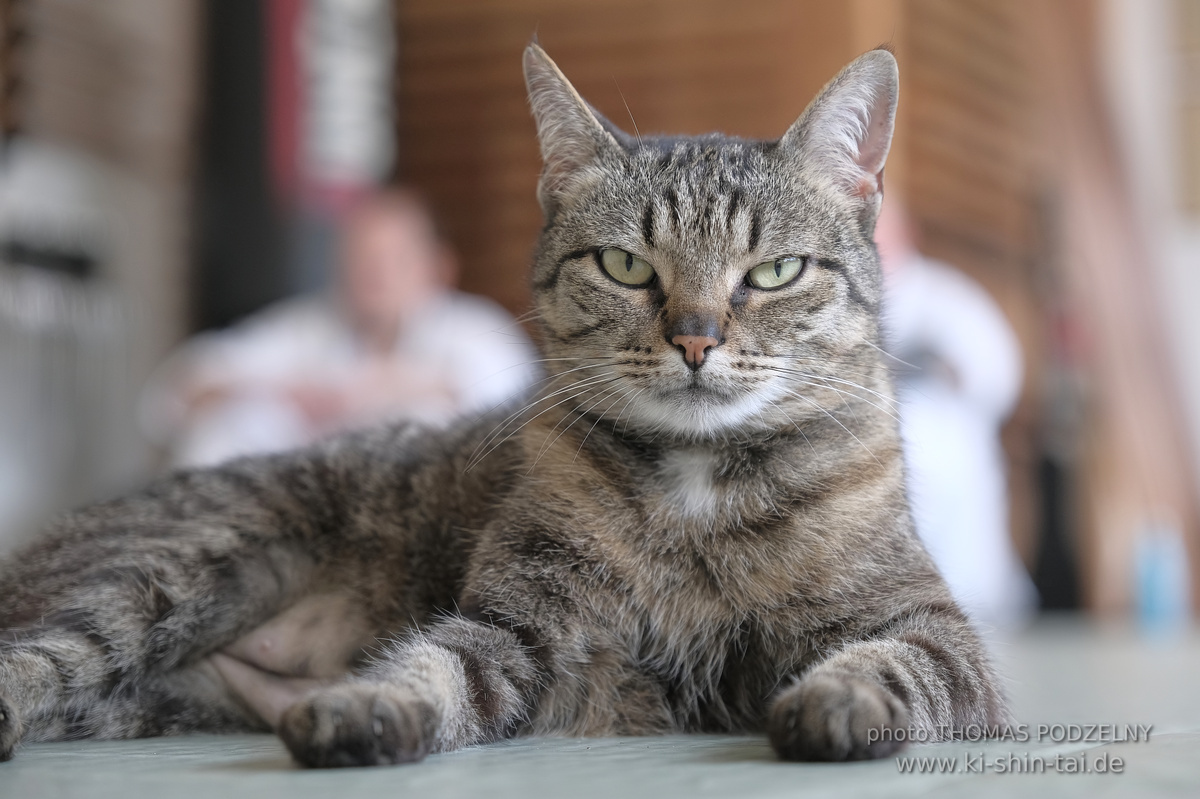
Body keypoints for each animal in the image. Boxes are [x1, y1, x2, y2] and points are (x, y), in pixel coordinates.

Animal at [2, 44, 1003, 767]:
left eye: (775, 272)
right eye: (626, 266)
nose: (695, 337)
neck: (700, 487)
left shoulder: (934, 631)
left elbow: (894, 666)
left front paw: (837, 699)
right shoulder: (518, 626)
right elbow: (435, 665)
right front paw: (367, 705)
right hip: (166, 574)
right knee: (38, 653)